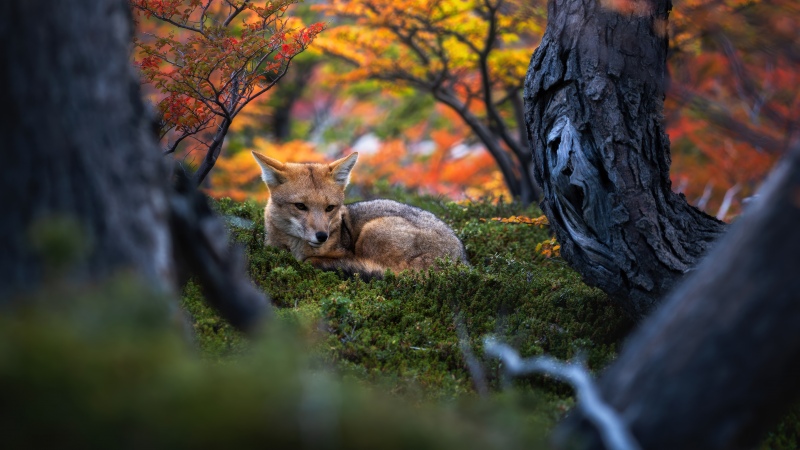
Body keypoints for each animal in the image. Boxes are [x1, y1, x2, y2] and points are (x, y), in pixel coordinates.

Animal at [252, 151, 468, 278]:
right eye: (300, 206)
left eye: (329, 208)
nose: (322, 236)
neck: (296, 249)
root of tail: (462, 259)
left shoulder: (344, 253)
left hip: (370, 232)